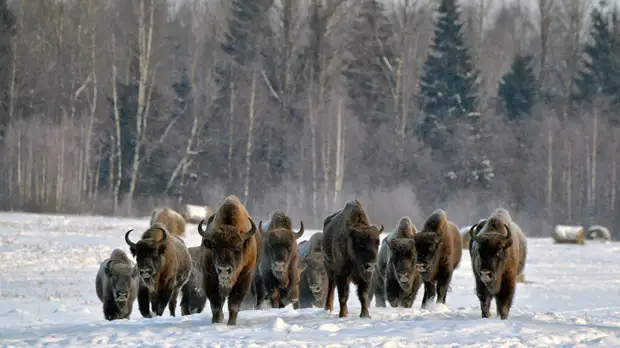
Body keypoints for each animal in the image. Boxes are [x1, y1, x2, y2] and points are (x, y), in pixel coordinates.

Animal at [197, 194, 258, 324]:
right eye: (214, 246)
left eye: (238, 247)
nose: (224, 269)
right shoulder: (209, 277)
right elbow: (215, 304)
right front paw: (216, 322)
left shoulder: (245, 277)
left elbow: (234, 304)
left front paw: (231, 323)